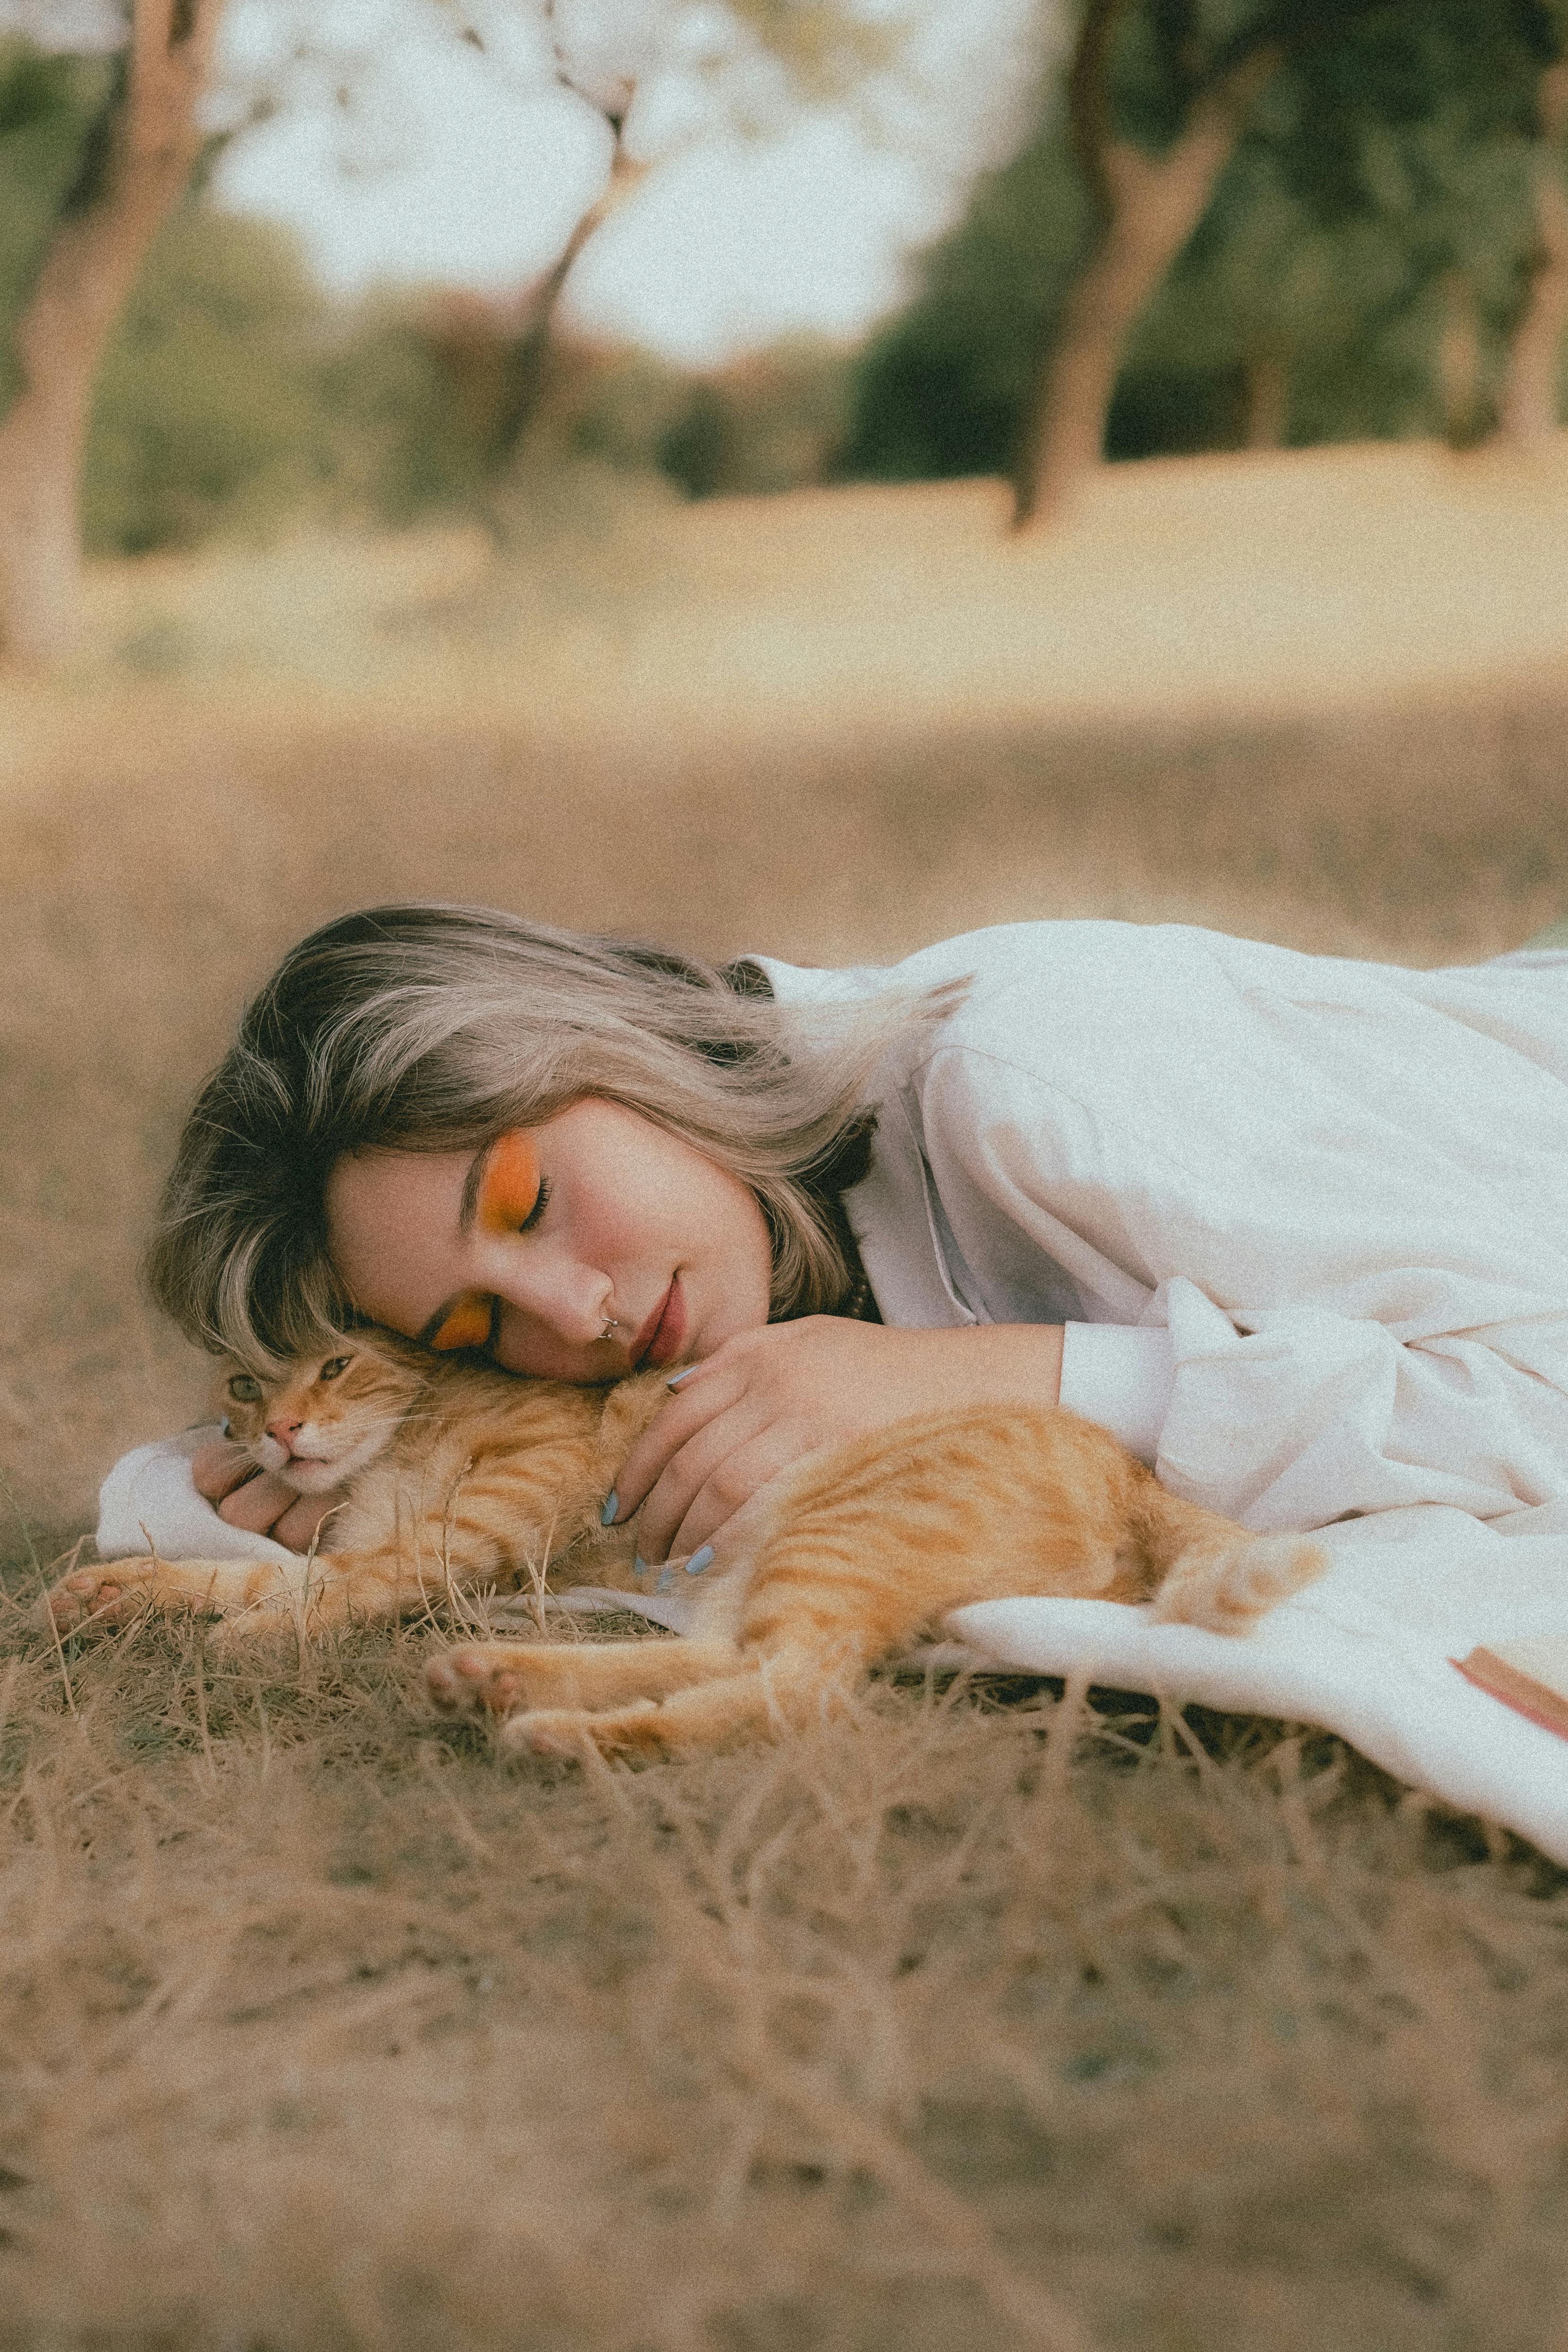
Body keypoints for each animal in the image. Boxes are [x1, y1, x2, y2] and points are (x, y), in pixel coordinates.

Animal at [40, 1326, 1326, 1749]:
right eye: (245, 1382)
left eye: (335, 1362)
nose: (281, 1429)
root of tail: (1125, 1463)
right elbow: (240, 1570)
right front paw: (109, 1595)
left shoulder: (506, 1500)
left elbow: (340, 1581)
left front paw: (253, 1635)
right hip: (771, 1563)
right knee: (725, 1658)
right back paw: (500, 1681)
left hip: (833, 1529)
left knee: (800, 1687)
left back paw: (561, 1737)